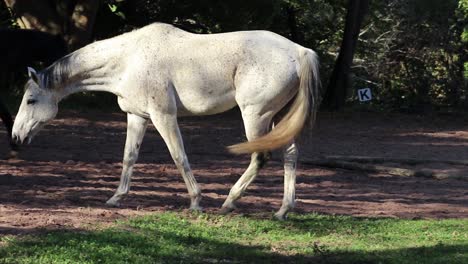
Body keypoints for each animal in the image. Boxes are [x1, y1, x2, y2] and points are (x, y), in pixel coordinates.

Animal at [11, 23, 320, 220]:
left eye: (31, 100)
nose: (16, 137)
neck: (128, 59)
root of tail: (299, 51)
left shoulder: (163, 116)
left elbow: (178, 156)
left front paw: (196, 201)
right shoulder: (137, 116)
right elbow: (129, 157)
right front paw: (116, 198)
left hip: (255, 116)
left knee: (260, 157)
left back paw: (229, 202)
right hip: (276, 118)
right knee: (290, 155)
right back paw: (282, 211)